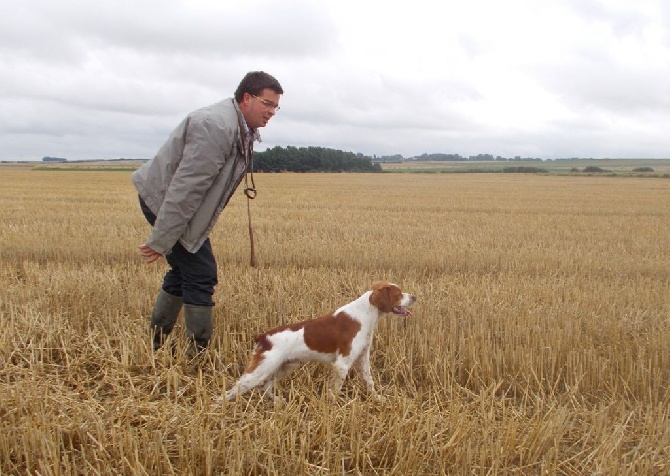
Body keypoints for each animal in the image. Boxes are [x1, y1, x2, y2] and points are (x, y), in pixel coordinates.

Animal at [227, 282, 414, 402]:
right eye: (399, 294)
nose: (415, 297)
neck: (365, 314)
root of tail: (263, 336)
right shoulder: (342, 364)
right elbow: (335, 390)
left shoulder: (363, 359)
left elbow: (370, 382)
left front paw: (378, 399)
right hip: (260, 369)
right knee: (230, 392)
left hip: (286, 366)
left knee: (265, 386)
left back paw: (279, 401)